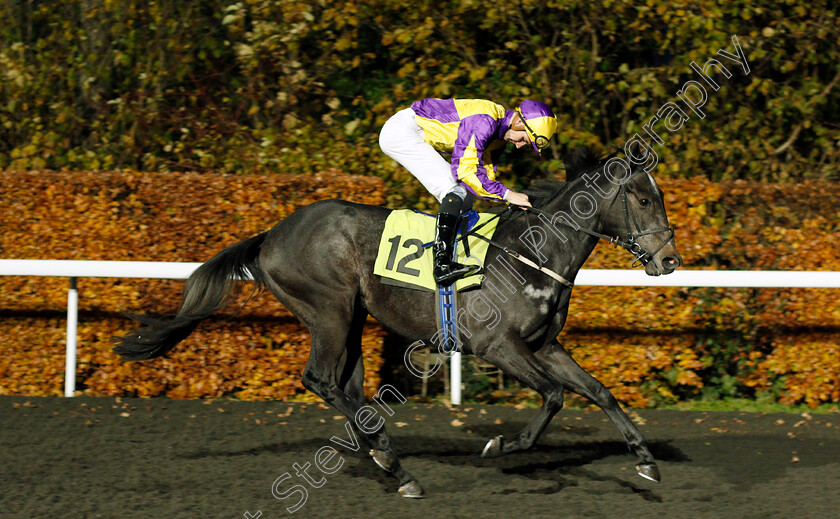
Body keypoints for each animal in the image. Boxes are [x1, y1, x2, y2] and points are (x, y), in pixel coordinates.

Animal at [115, 148, 684, 498]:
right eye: (641, 197)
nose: (670, 259)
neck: (534, 253)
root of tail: (271, 235)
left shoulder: (545, 346)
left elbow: (600, 392)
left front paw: (645, 460)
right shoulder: (498, 346)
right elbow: (553, 397)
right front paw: (503, 445)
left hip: (352, 320)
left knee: (346, 387)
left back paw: (387, 458)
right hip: (329, 308)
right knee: (320, 379)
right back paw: (392, 460)